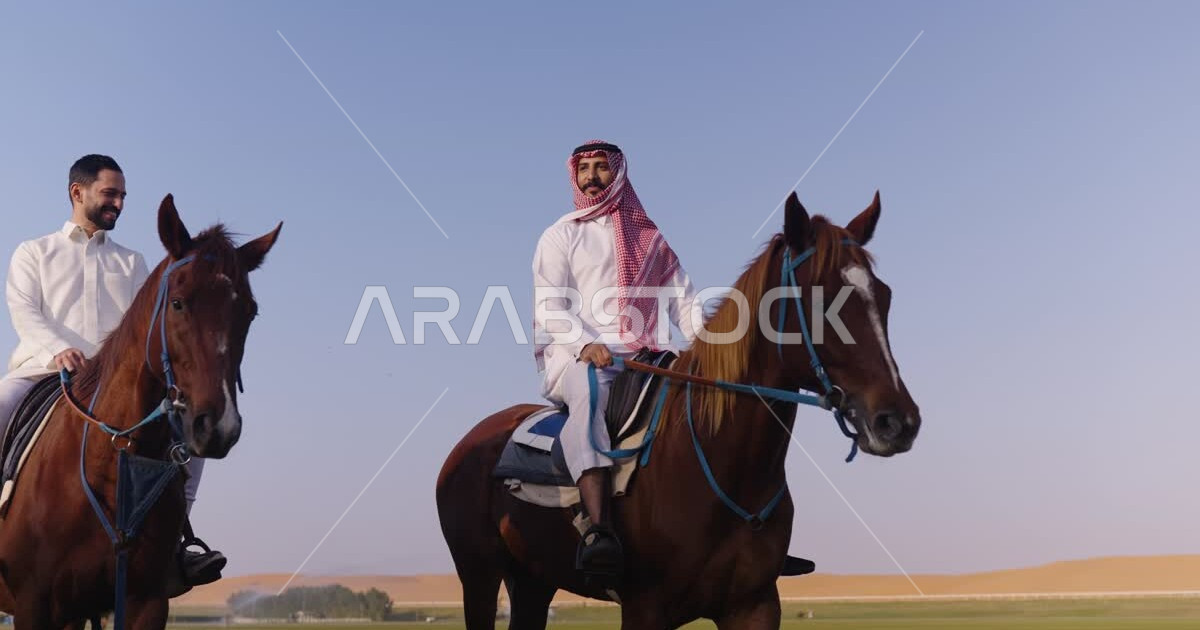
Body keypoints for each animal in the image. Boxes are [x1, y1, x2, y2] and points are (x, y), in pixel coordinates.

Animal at [0, 195, 281, 630]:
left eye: (249, 312)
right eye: (178, 303)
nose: (219, 427)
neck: (116, 461)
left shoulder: (145, 600)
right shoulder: (34, 605)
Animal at [436, 192, 921, 629]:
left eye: (884, 296)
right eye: (821, 299)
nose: (897, 421)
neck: (721, 469)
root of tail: (468, 444)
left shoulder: (755, 607)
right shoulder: (645, 610)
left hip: (533, 580)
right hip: (479, 577)